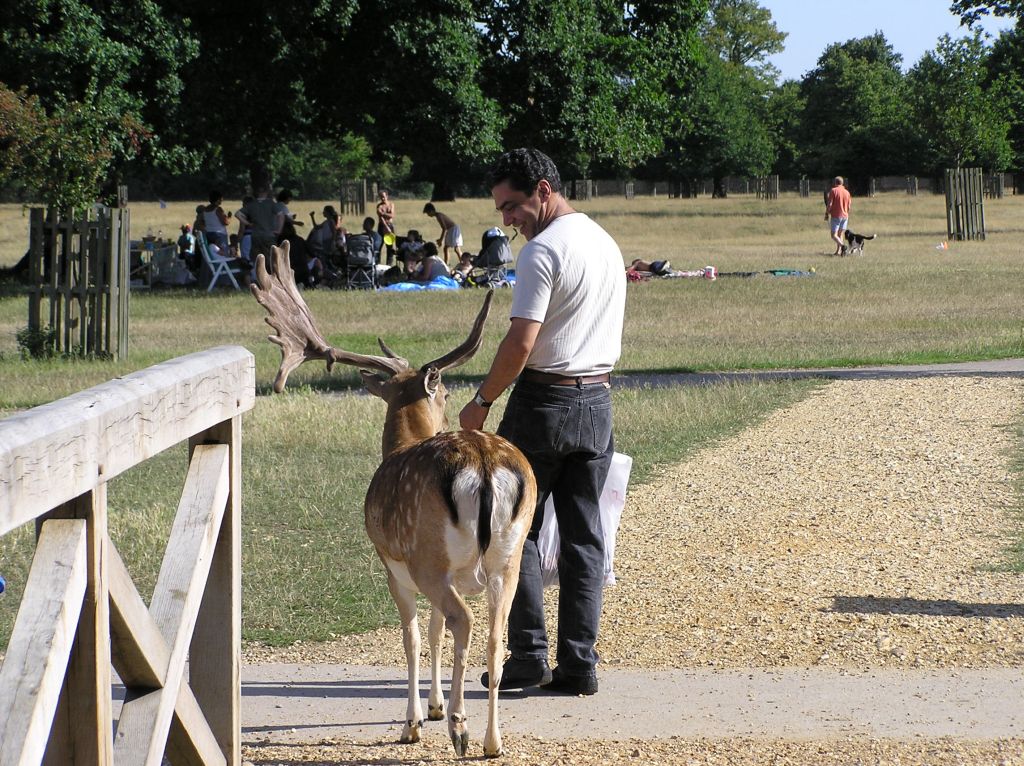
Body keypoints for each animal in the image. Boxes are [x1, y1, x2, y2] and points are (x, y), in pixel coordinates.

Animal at [251, 242, 537, 758]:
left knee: (464, 621)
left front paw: (415, 722)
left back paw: (460, 730)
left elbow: (412, 635)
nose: (450, 404)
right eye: (445, 392)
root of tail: (484, 463)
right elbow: (435, 632)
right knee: (493, 635)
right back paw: (492, 741)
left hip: (427, 556)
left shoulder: (391, 565)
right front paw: (435, 706)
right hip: (510, 556)